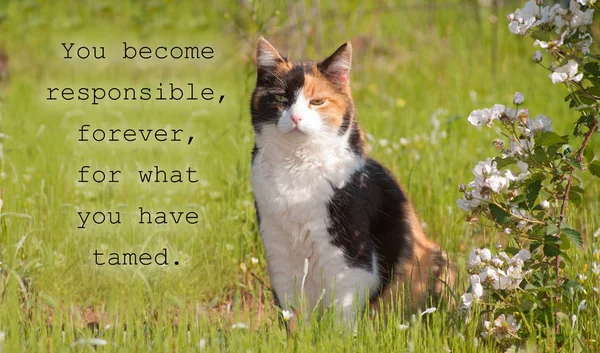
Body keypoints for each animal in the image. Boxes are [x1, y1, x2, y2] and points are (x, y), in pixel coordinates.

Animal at [250, 37, 454, 320]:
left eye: (317, 102)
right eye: (281, 97)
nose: (296, 117)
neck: (297, 168)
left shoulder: (350, 256)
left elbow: (342, 312)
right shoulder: (279, 254)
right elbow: (295, 312)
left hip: (434, 260)